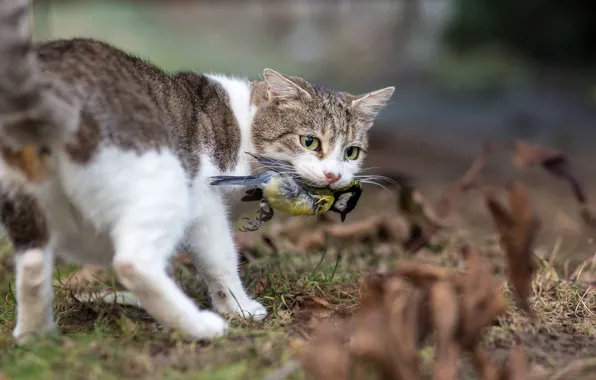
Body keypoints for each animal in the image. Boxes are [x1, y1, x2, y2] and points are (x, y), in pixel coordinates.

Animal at [0, 0, 396, 342]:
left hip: (24, 197)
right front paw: (237, 308)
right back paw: (198, 326)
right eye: (310, 141)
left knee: (32, 265)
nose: (334, 177)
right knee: (131, 262)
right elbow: (219, 258)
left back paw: (36, 338)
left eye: (351, 152)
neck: (242, 122)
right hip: (164, 183)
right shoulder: (204, 199)